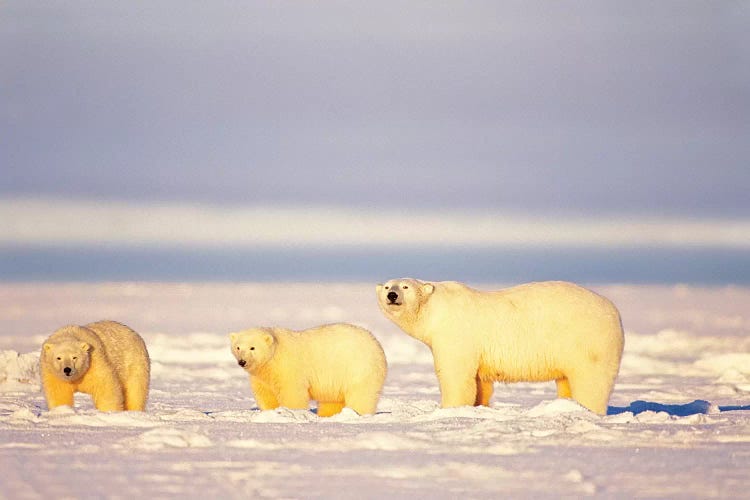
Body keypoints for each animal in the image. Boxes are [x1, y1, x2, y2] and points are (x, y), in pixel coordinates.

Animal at [229, 322, 388, 416]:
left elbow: (292, 393)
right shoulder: (262, 375)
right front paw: (272, 412)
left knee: (361, 396)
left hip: (359, 369)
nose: (242, 362)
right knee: (332, 401)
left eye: (252, 347)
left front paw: (292, 412)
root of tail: (377, 344)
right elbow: (266, 394)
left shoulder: (288, 367)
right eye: (238, 347)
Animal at [378, 278, 624, 414]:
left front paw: (449, 408)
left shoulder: (456, 335)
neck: (436, 309)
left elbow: (455, 376)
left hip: (587, 341)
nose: (392, 295)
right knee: (566, 381)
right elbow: (480, 383)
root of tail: (613, 311)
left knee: (591, 381)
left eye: (406, 286)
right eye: (388, 285)